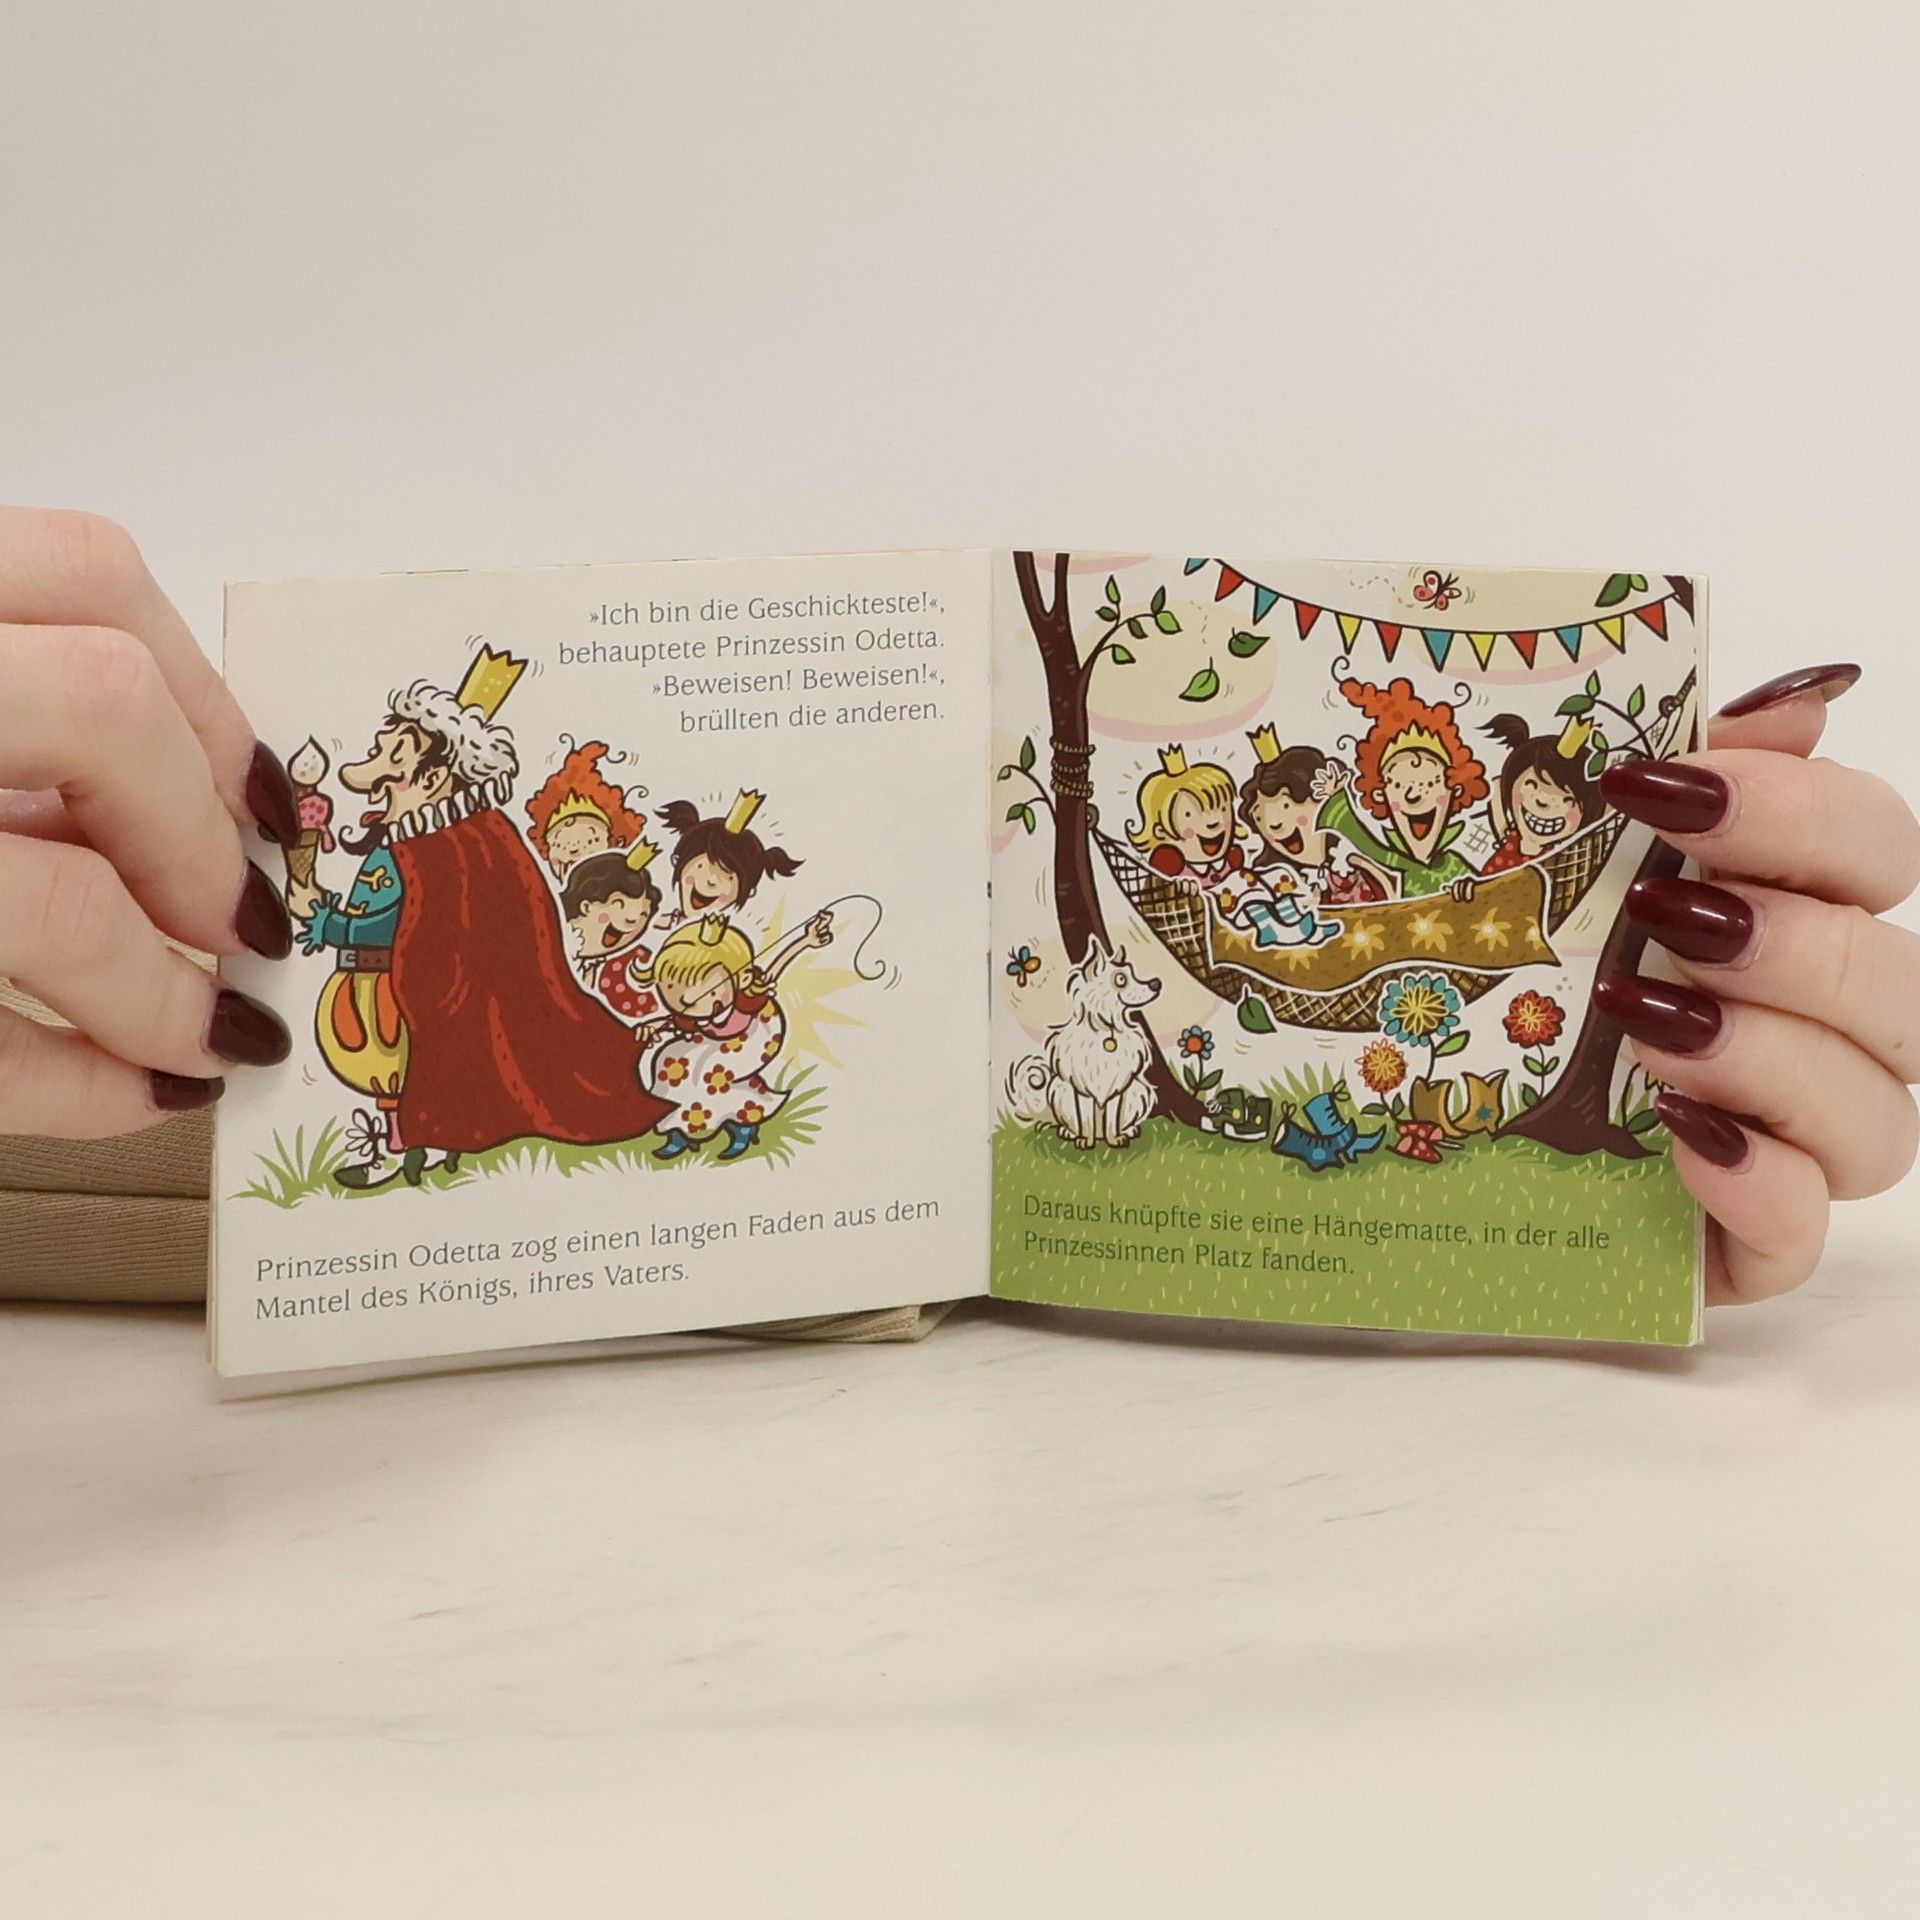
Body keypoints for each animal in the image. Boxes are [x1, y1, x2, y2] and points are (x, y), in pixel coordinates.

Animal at [1006, 941, 1161, 1148]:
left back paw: (1127, 1131)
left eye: (1133, 973)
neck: (1105, 1028)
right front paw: (1085, 1140)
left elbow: (1112, 1120)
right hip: (1059, 1089)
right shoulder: (1081, 1089)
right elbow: (1086, 1120)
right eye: (1121, 979)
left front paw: (1115, 1139)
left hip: (1139, 1090)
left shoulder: (1118, 1088)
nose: (1156, 983)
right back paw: (1070, 1133)